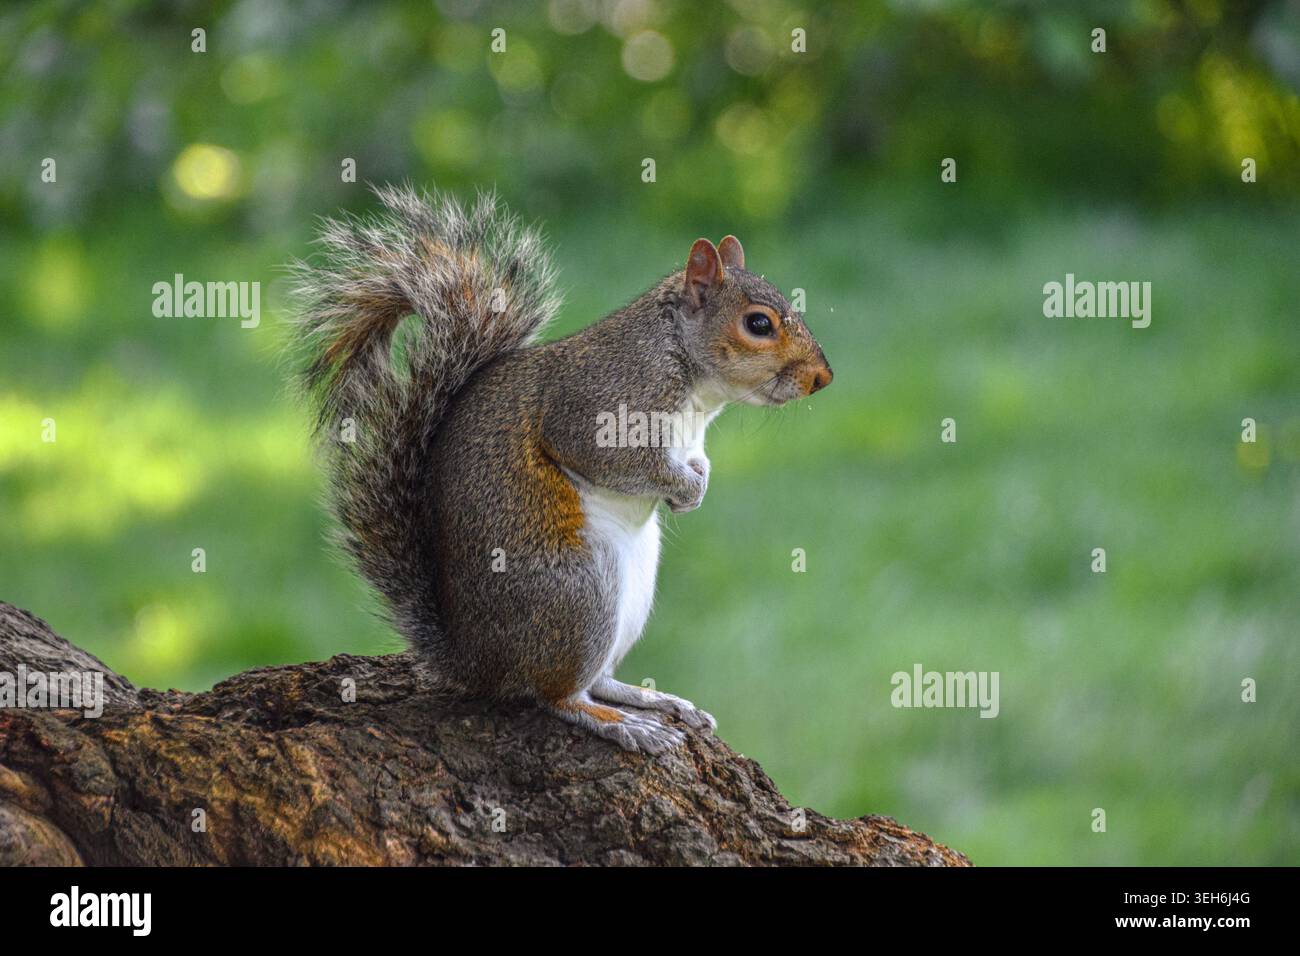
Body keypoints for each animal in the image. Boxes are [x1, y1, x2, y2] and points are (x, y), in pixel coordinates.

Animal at [290, 185, 832, 754]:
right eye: (758, 324)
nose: (823, 377)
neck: (689, 376)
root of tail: (474, 663)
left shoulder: (689, 439)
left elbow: (696, 460)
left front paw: (696, 485)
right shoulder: (598, 408)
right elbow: (612, 459)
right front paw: (682, 487)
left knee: (598, 679)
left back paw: (652, 699)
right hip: (578, 590)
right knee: (557, 694)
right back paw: (620, 722)